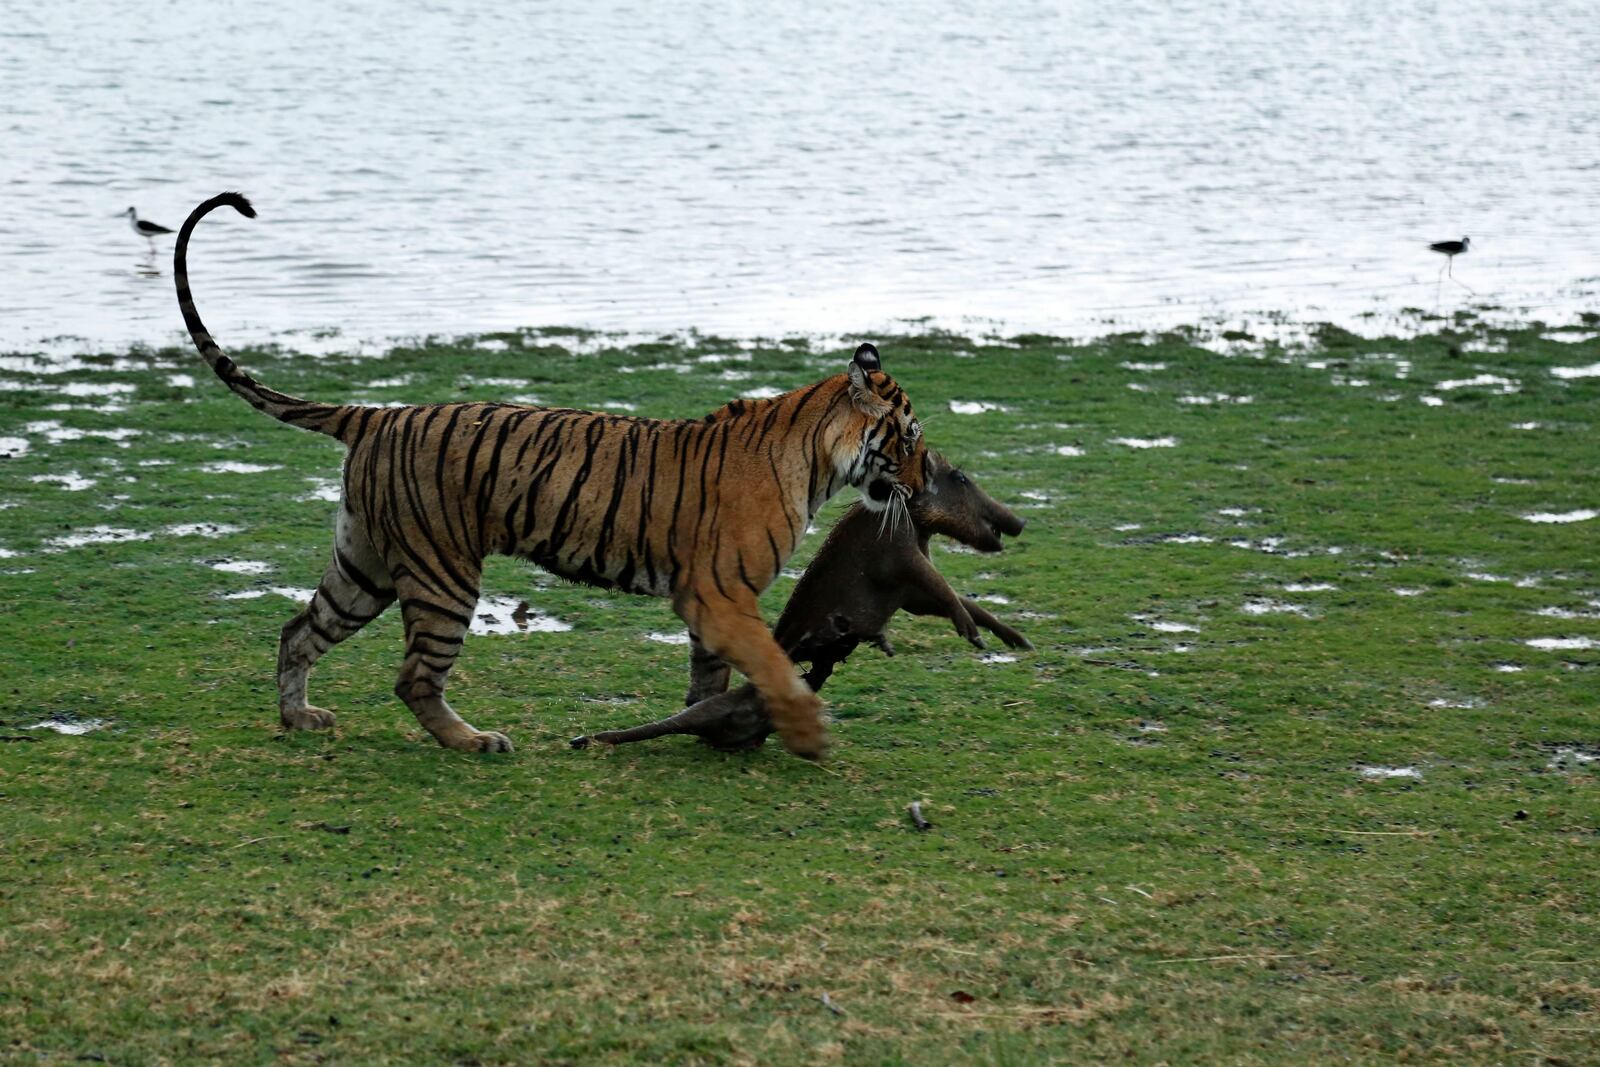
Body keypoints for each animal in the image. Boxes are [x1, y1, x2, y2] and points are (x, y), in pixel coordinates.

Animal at [172, 191, 928, 758]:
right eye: (912, 437)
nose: (924, 488)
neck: (816, 457)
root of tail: (378, 414)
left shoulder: (711, 603)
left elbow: (711, 674)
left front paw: (712, 726)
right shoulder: (719, 593)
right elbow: (771, 663)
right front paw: (805, 732)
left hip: (366, 568)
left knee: (298, 630)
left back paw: (300, 718)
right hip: (441, 574)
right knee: (413, 677)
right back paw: (474, 740)